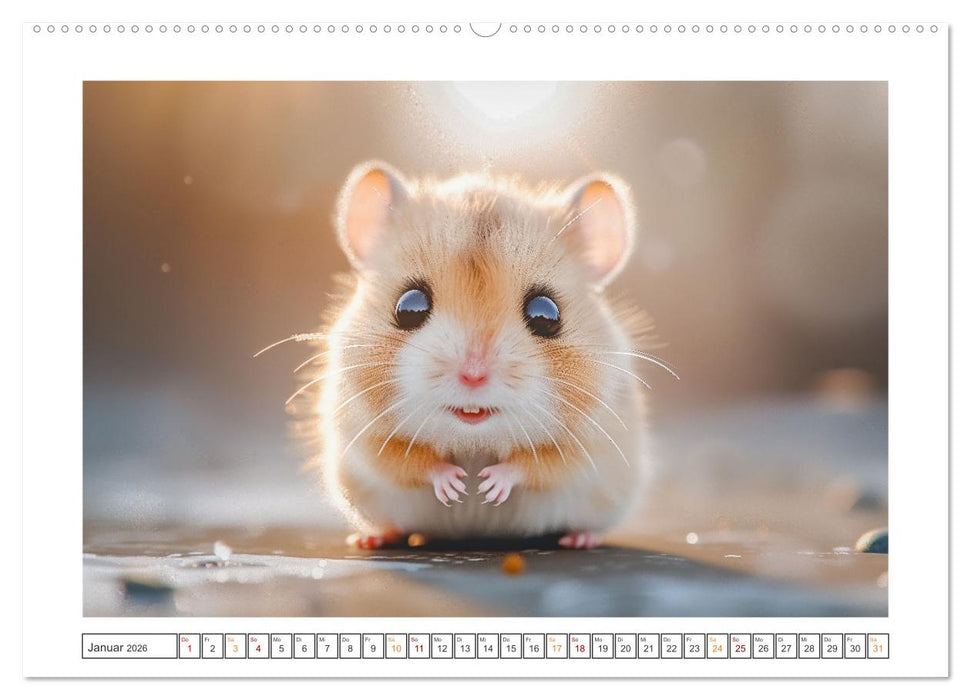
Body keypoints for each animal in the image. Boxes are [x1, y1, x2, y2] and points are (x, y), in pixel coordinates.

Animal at [298, 161, 673, 549]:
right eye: (408, 306)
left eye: (547, 314)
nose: (473, 376)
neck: (475, 443)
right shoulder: (366, 433)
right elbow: (409, 461)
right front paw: (457, 485)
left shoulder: (587, 441)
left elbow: (538, 465)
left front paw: (488, 485)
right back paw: (371, 538)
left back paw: (580, 539)